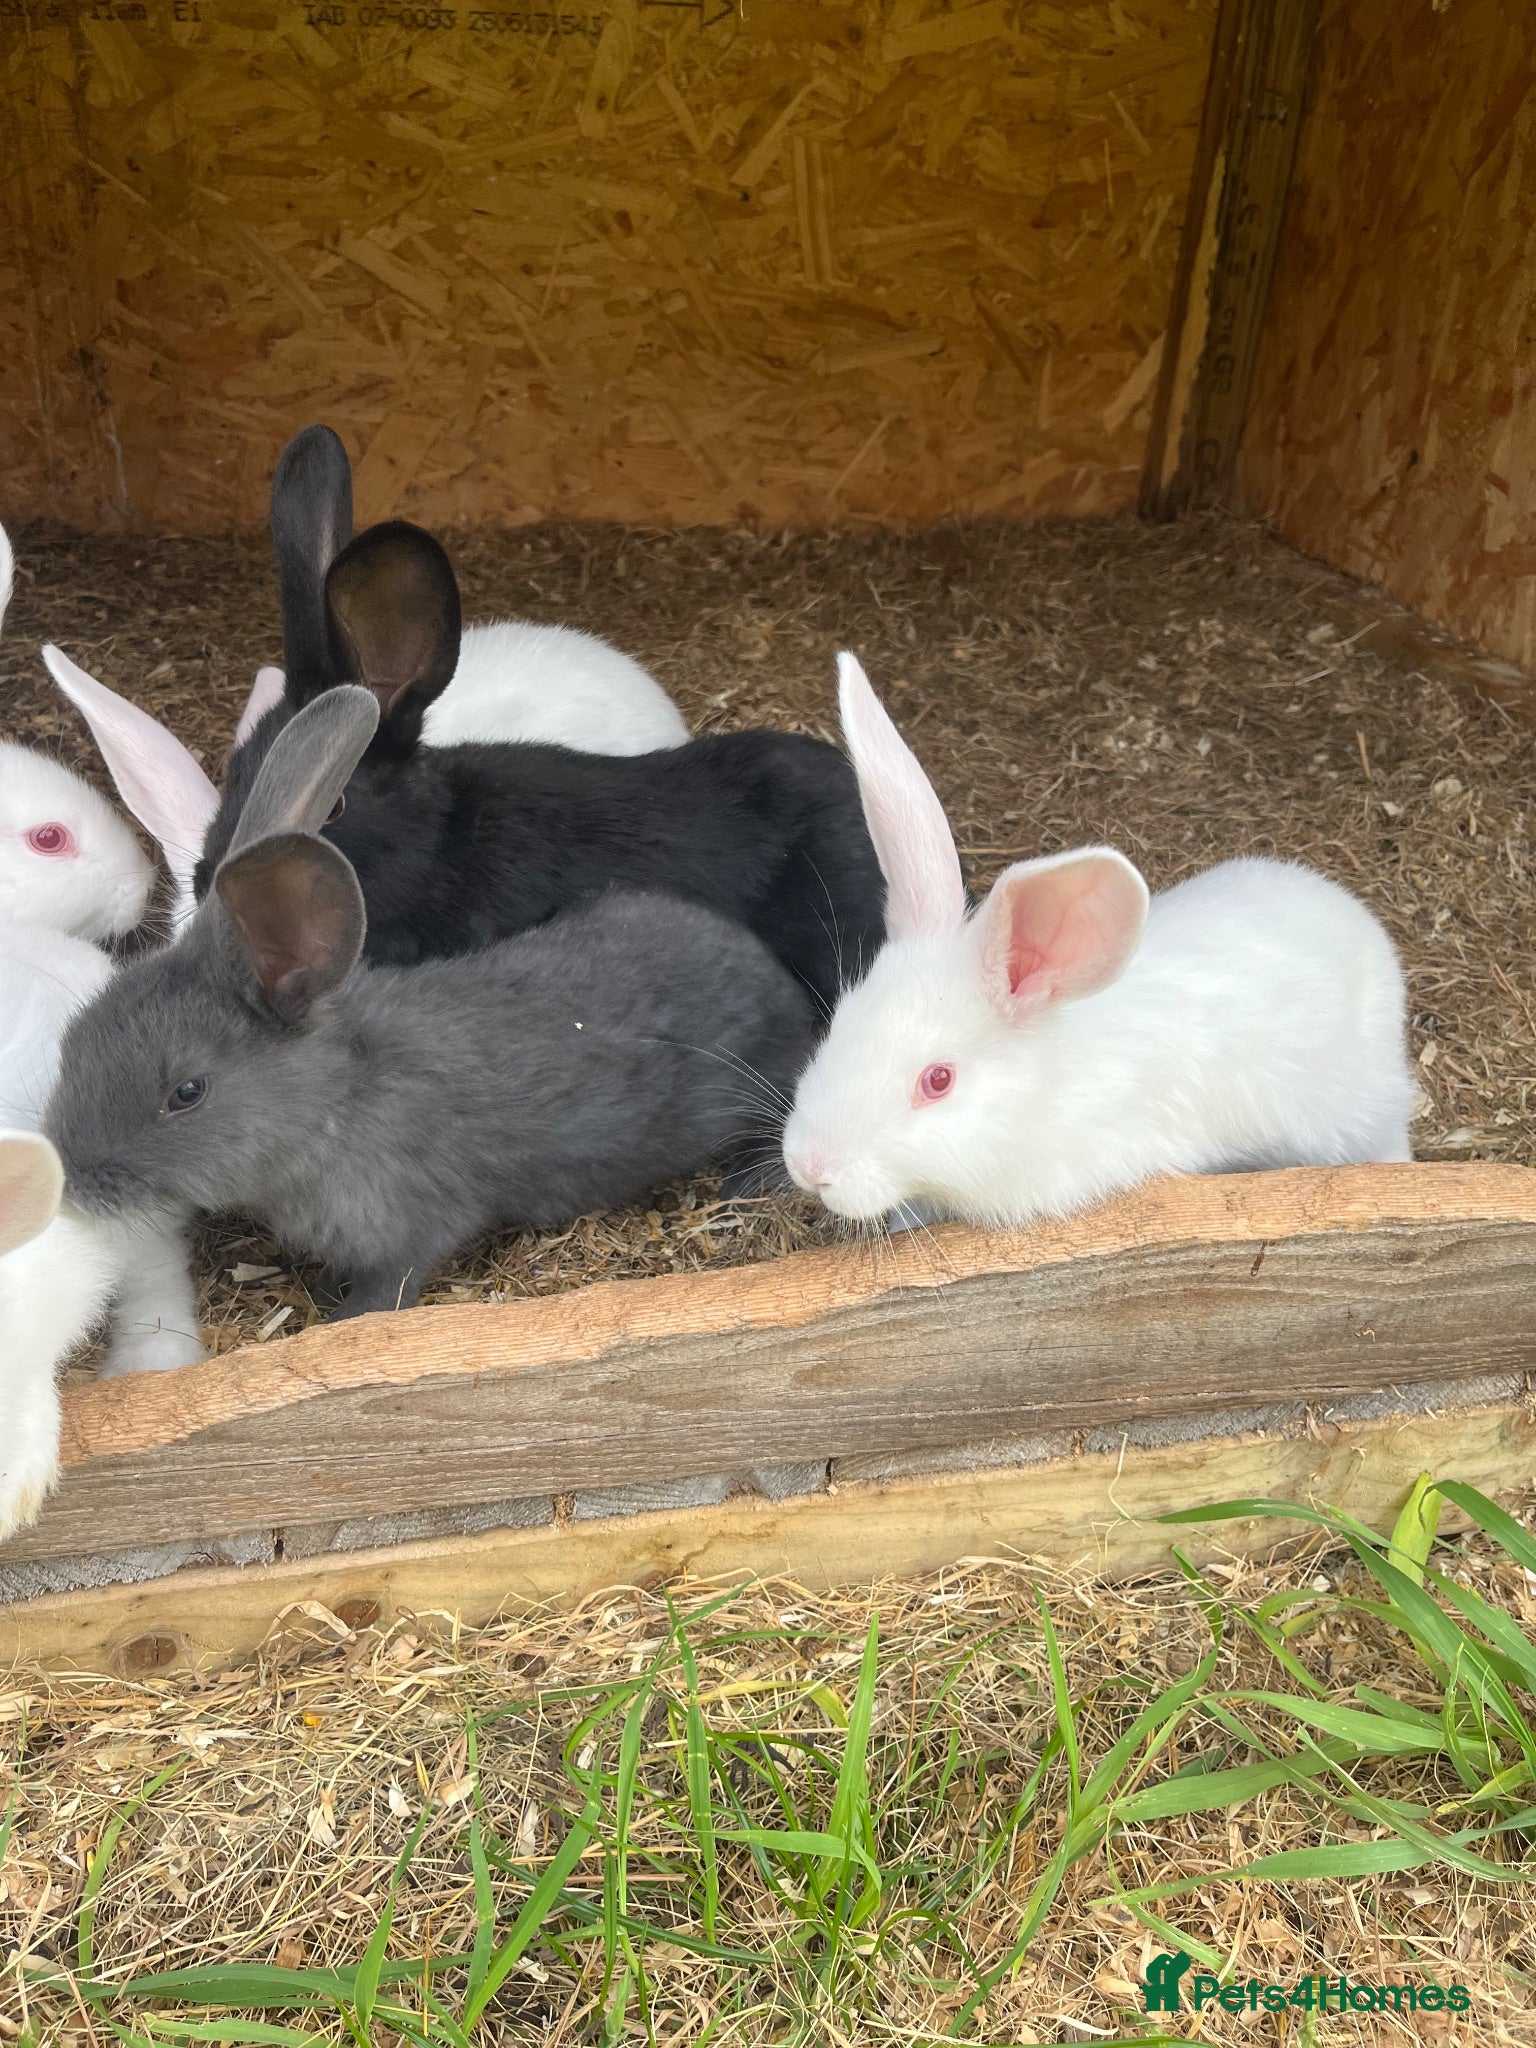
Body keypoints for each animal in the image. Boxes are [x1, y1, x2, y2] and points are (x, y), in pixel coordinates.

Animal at [47, 687, 819, 1321]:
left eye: (186, 1093)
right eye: (73, 1040)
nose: (72, 1180)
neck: (332, 1102)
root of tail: (770, 973)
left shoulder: (409, 1231)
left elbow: (389, 1287)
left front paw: (338, 1315)